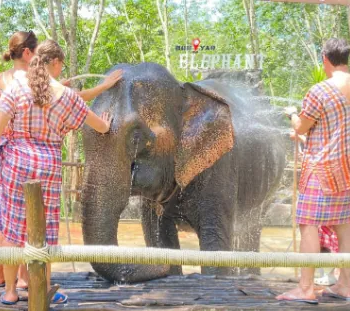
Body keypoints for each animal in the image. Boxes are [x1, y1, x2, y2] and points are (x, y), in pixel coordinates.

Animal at [80, 62, 286, 286]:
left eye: (136, 137)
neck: (184, 90)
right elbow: (159, 237)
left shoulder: (221, 166)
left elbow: (215, 245)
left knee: (251, 227)